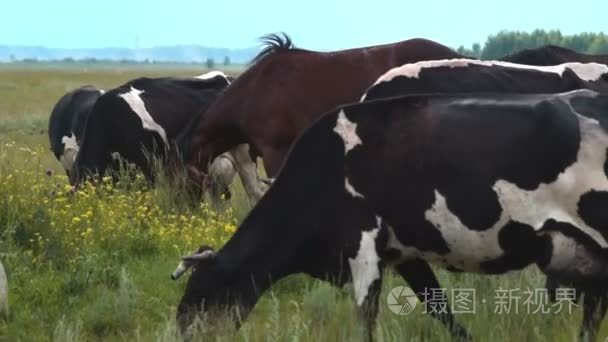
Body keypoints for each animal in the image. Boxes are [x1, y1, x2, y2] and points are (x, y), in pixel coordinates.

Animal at [171, 90, 608, 342]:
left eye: (198, 294)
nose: (178, 333)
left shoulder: (362, 248)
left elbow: (366, 319)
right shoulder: (404, 253)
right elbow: (440, 309)